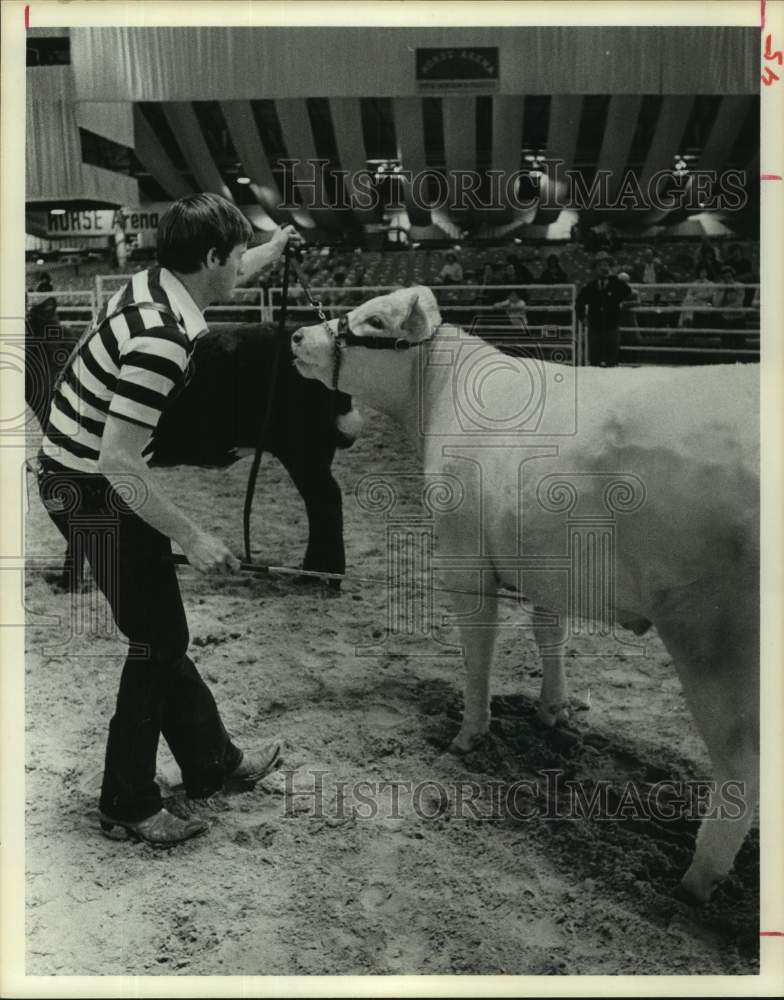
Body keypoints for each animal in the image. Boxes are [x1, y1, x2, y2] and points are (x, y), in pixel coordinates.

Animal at [290, 286, 756, 904]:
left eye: (375, 321)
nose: (297, 335)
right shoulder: (547, 563)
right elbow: (548, 633)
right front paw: (554, 711)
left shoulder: (464, 554)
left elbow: (478, 649)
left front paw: (469, 734)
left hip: (712, 634)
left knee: (742, 761)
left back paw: (695, 880)